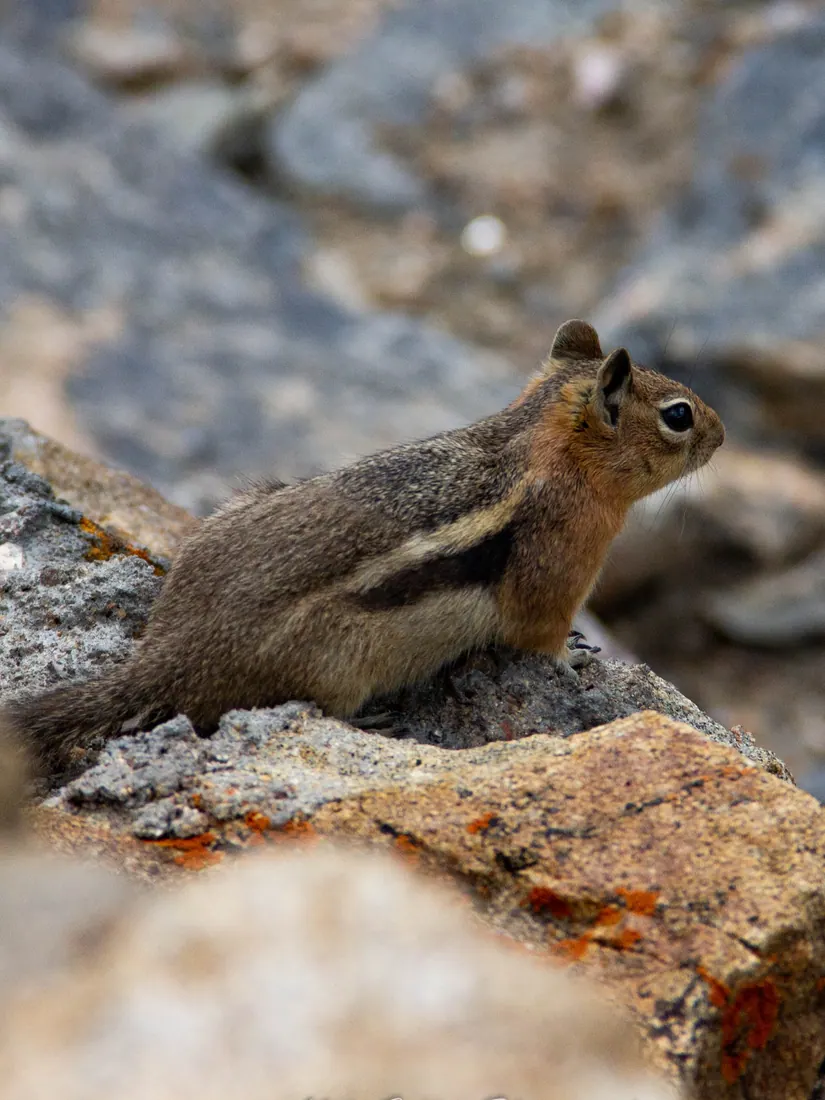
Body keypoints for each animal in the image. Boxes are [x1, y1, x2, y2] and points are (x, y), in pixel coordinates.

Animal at [1, 320, 724, 775]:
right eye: (678, 415)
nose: (722, 435)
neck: (540, 446)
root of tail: (170, 655)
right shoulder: (554, 571)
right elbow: (538, 634)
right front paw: (575, 661)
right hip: (333, 666)